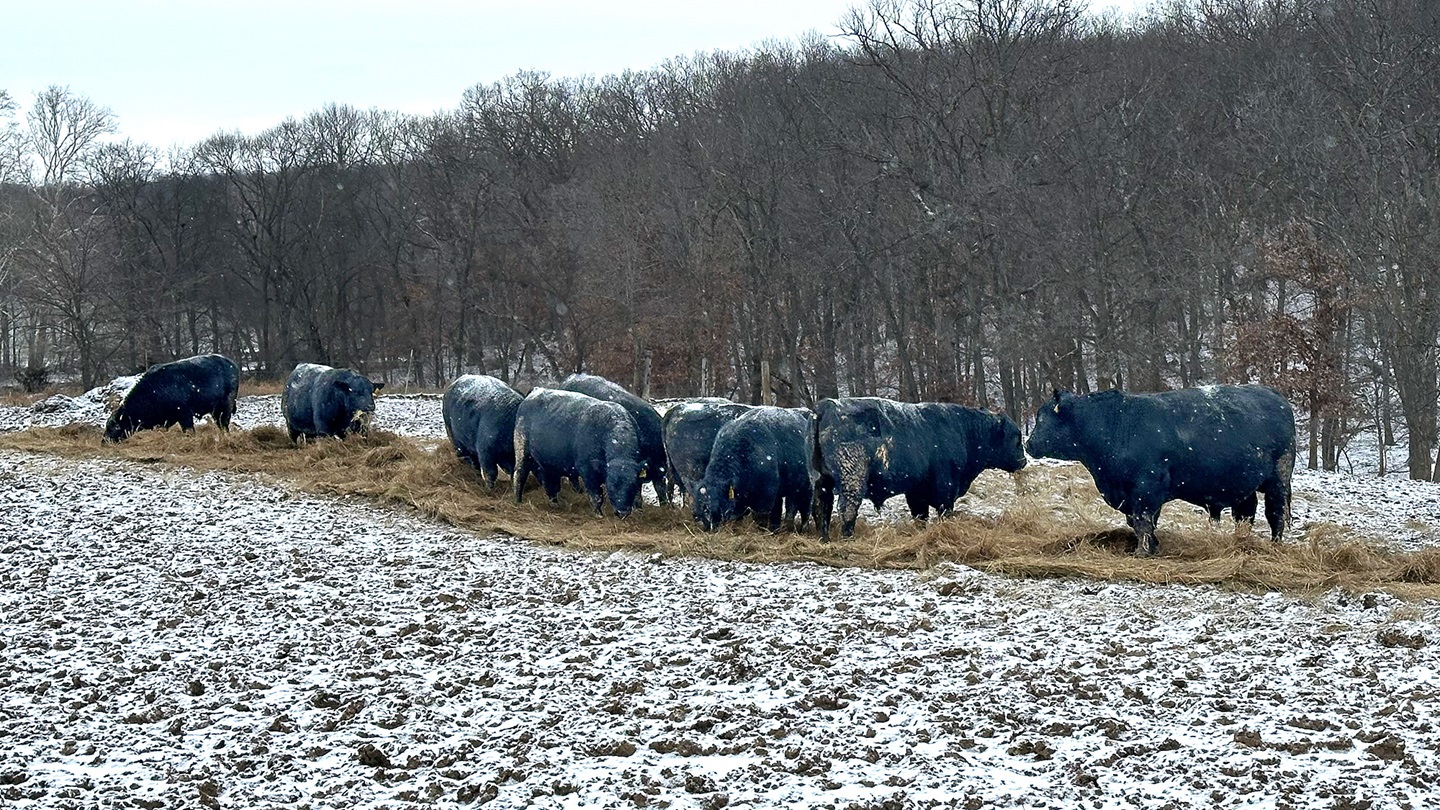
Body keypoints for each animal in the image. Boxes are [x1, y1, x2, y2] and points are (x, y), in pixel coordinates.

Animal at [104, 353, 240, 443]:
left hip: (224, 407)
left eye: (115, 427)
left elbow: (189, 430)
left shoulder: (184, 414)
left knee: (223, 423)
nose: (104, 441)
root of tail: (232, 364)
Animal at [512, 388, 644, 517]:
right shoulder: (587, 471)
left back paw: (554, 502)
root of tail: (536, 390)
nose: (623, 512)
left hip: (547, 461)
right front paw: (598, 514)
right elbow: (596, 497)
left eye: (633, 485)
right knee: (520, 474)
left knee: (549, 481)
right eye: (611, 485)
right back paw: (518, 500)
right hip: (522, 450)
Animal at [815, 397, 1028, 539]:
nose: (1023, 461)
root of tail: (826, 407)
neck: (964, 429)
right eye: (1016, 437)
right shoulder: (945, 490)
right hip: (852, 482)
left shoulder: (916, 491)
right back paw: (847, 536)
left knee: (821, 507)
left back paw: (824, 538)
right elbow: (943, 511)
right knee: (847, 508)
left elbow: (920, 515)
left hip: (823, 483)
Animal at [1025, 384, 1296, 556]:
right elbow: (1140, 522)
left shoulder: (1146, 489)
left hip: (1278, 480)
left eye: (1042, 418)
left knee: (1276, 514)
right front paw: (1153, 547)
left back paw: (1275, 545)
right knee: (1245, 515)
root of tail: (1275, 396)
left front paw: (1143, 551)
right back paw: (1239, 541)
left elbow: (1143, 521)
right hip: (1243, 484)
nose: (1028, 444)